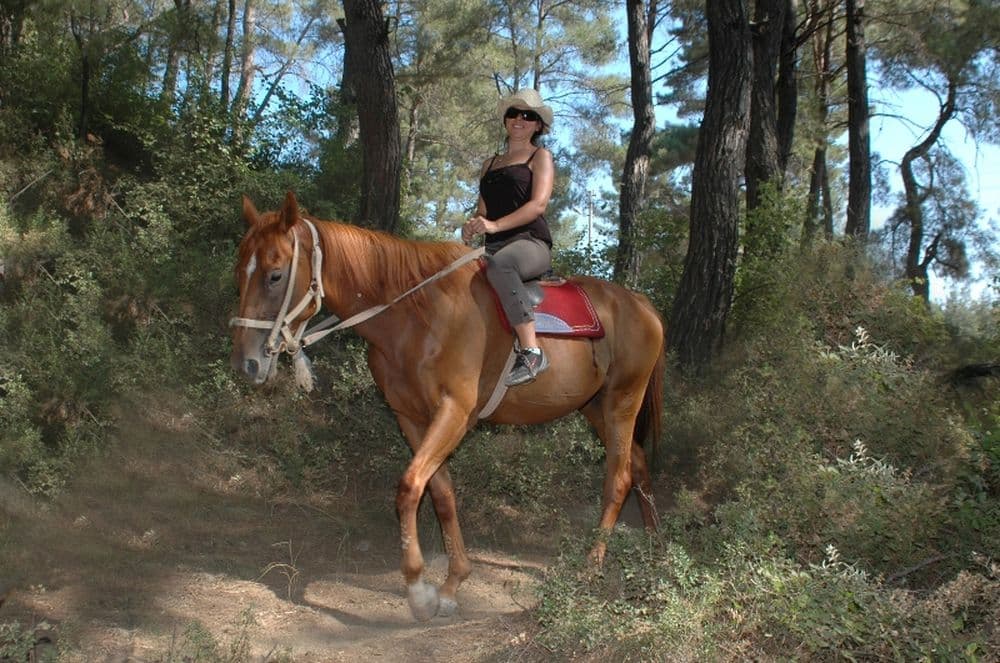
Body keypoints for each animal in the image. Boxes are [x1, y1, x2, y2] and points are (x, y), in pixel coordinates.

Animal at [230, 192, 665, 621]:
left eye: (275, 274)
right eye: (239, 272)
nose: (246, 363)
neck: (416, 315)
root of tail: (640, 303)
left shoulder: (454, 411)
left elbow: (409, 487)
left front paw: (418, 590)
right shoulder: (410, 417)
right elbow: (440, 493)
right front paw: (453, 583)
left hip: (622, 401)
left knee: (620, 477)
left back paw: (592, 565)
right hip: (595, 406)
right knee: (640, 464)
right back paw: (657, 552)